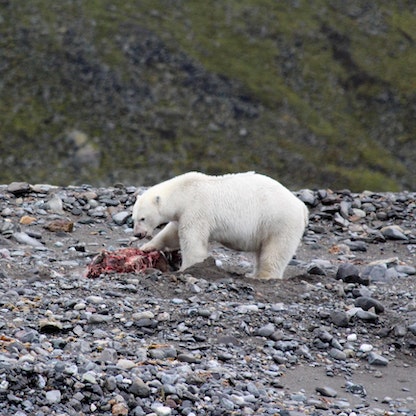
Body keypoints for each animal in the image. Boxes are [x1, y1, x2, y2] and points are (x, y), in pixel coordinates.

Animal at [132, 172, 308, 280]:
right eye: (133, 218)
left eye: (142, 218)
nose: (137, 234)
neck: (184, 192)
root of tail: (301, 206)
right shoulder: (182, 214)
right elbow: (171, 234)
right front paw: (146, 247)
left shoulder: (196, 210)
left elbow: (192, 240)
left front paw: (187, 268)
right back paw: (251, 274)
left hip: (279, 222)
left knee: (275, 251)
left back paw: (262, 276)